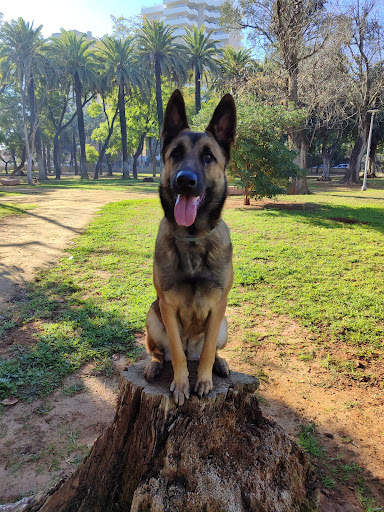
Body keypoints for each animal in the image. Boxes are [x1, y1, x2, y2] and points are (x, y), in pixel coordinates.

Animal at [144, 90, 236, 406]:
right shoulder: (167, 306)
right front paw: (182, 384)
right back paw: (155, 365)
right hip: (152, 316)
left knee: (209, 349)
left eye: (208, 157)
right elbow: (177, 355)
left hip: (223, 325)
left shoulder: (219, 306)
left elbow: (208, 351)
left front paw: (204, 380)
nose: (185, 181)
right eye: (176, 153)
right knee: (162, 352)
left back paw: (220, 363)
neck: (193, 238)